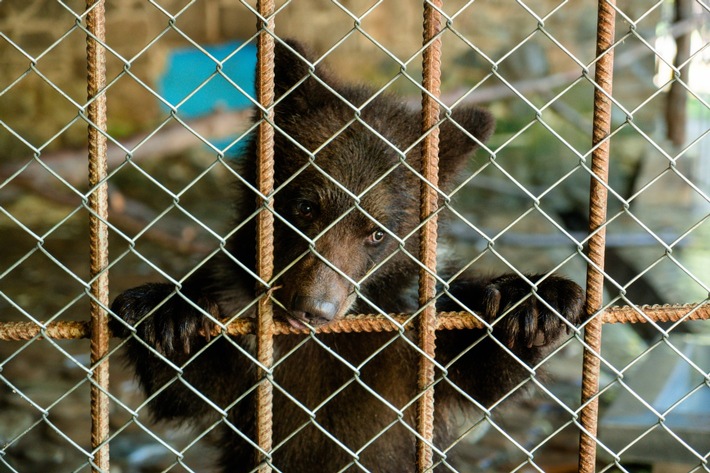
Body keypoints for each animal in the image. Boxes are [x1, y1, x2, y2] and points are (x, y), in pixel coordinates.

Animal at [111, 38, 588, 470]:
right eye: (305, 207)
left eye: (376, 234)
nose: (313, 308)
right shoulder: (244, 349)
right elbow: (185, 390)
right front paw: (167, 313)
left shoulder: (415, 342)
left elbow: (489, 371)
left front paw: (531, 301)